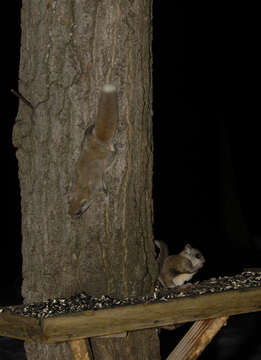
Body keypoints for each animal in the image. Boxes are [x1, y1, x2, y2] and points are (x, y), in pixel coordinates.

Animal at [68, 83, 118, 217]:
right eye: (69, 204)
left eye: (78, 212)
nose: (71, 216)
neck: (82, 187)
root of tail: (98, 142)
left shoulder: (97, 184)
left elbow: (105, 190)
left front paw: (106, 200)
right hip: (88, 138)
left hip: (108, 157)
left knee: (114, 154)